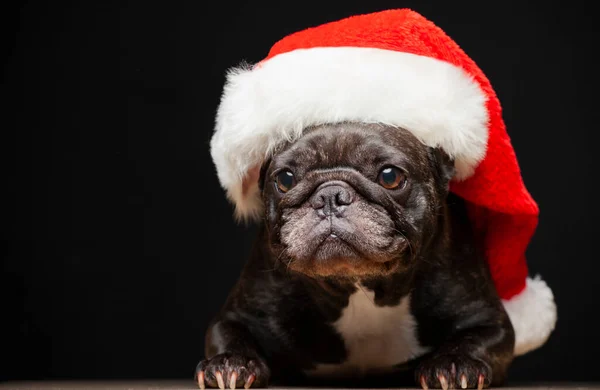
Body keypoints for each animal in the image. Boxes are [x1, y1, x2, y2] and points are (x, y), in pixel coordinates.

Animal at [196, 122, 510, 390]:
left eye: (390, 176)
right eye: (284, 179)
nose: (330, 196)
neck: (356, 284)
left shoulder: (489, 320)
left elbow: (473, 338)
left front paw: (455, 364)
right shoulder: (240, 312)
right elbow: (229, 333)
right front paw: (230, 363)